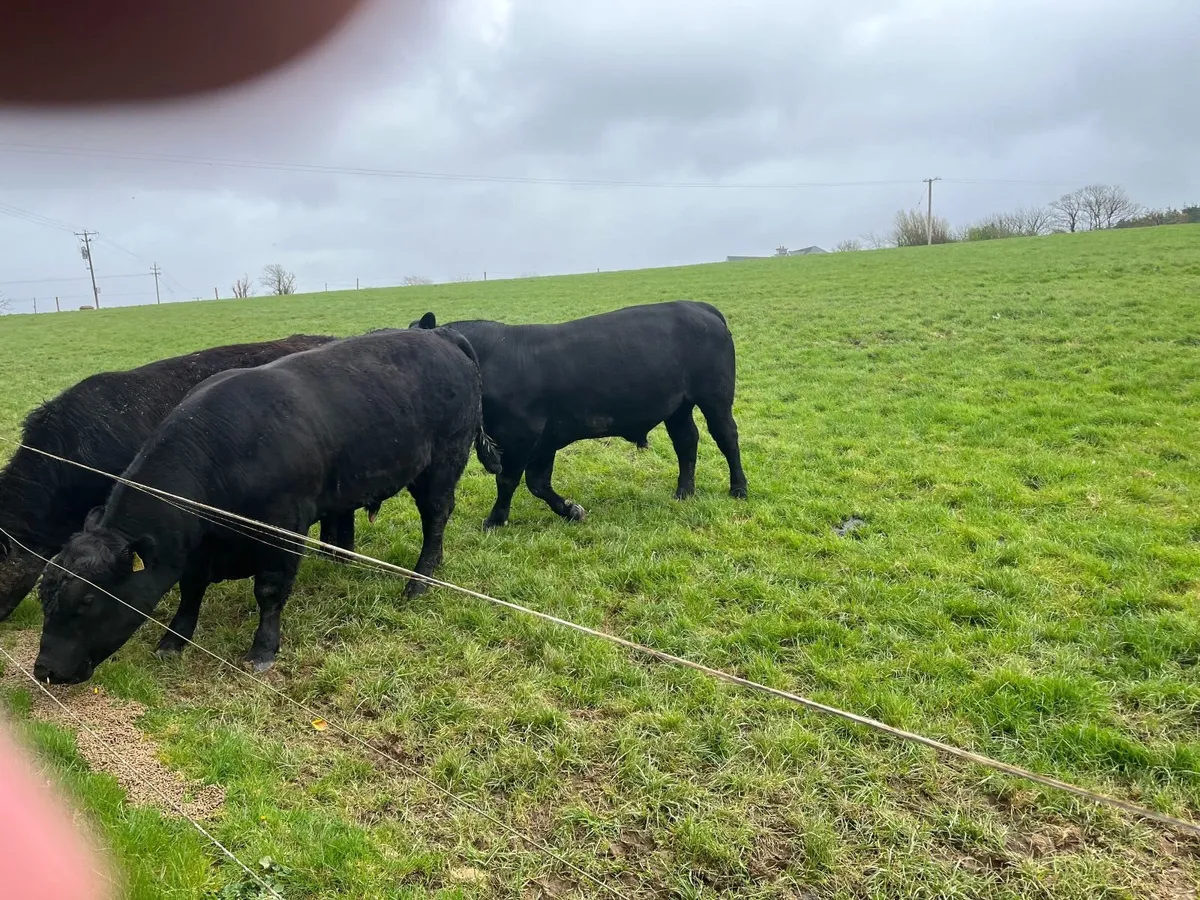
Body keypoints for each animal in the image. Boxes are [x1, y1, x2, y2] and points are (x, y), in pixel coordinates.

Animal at [410, 300, 747, 528]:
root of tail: (698, 307)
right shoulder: (543, 439)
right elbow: (537, 483)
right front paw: (571, 510)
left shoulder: (522, 435)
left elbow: (508, 480)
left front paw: (495, 519)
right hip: (677, 407)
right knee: (686, 441)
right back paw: (684, 491)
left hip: (715, 398)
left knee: (727, 438)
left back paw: (739, 488)